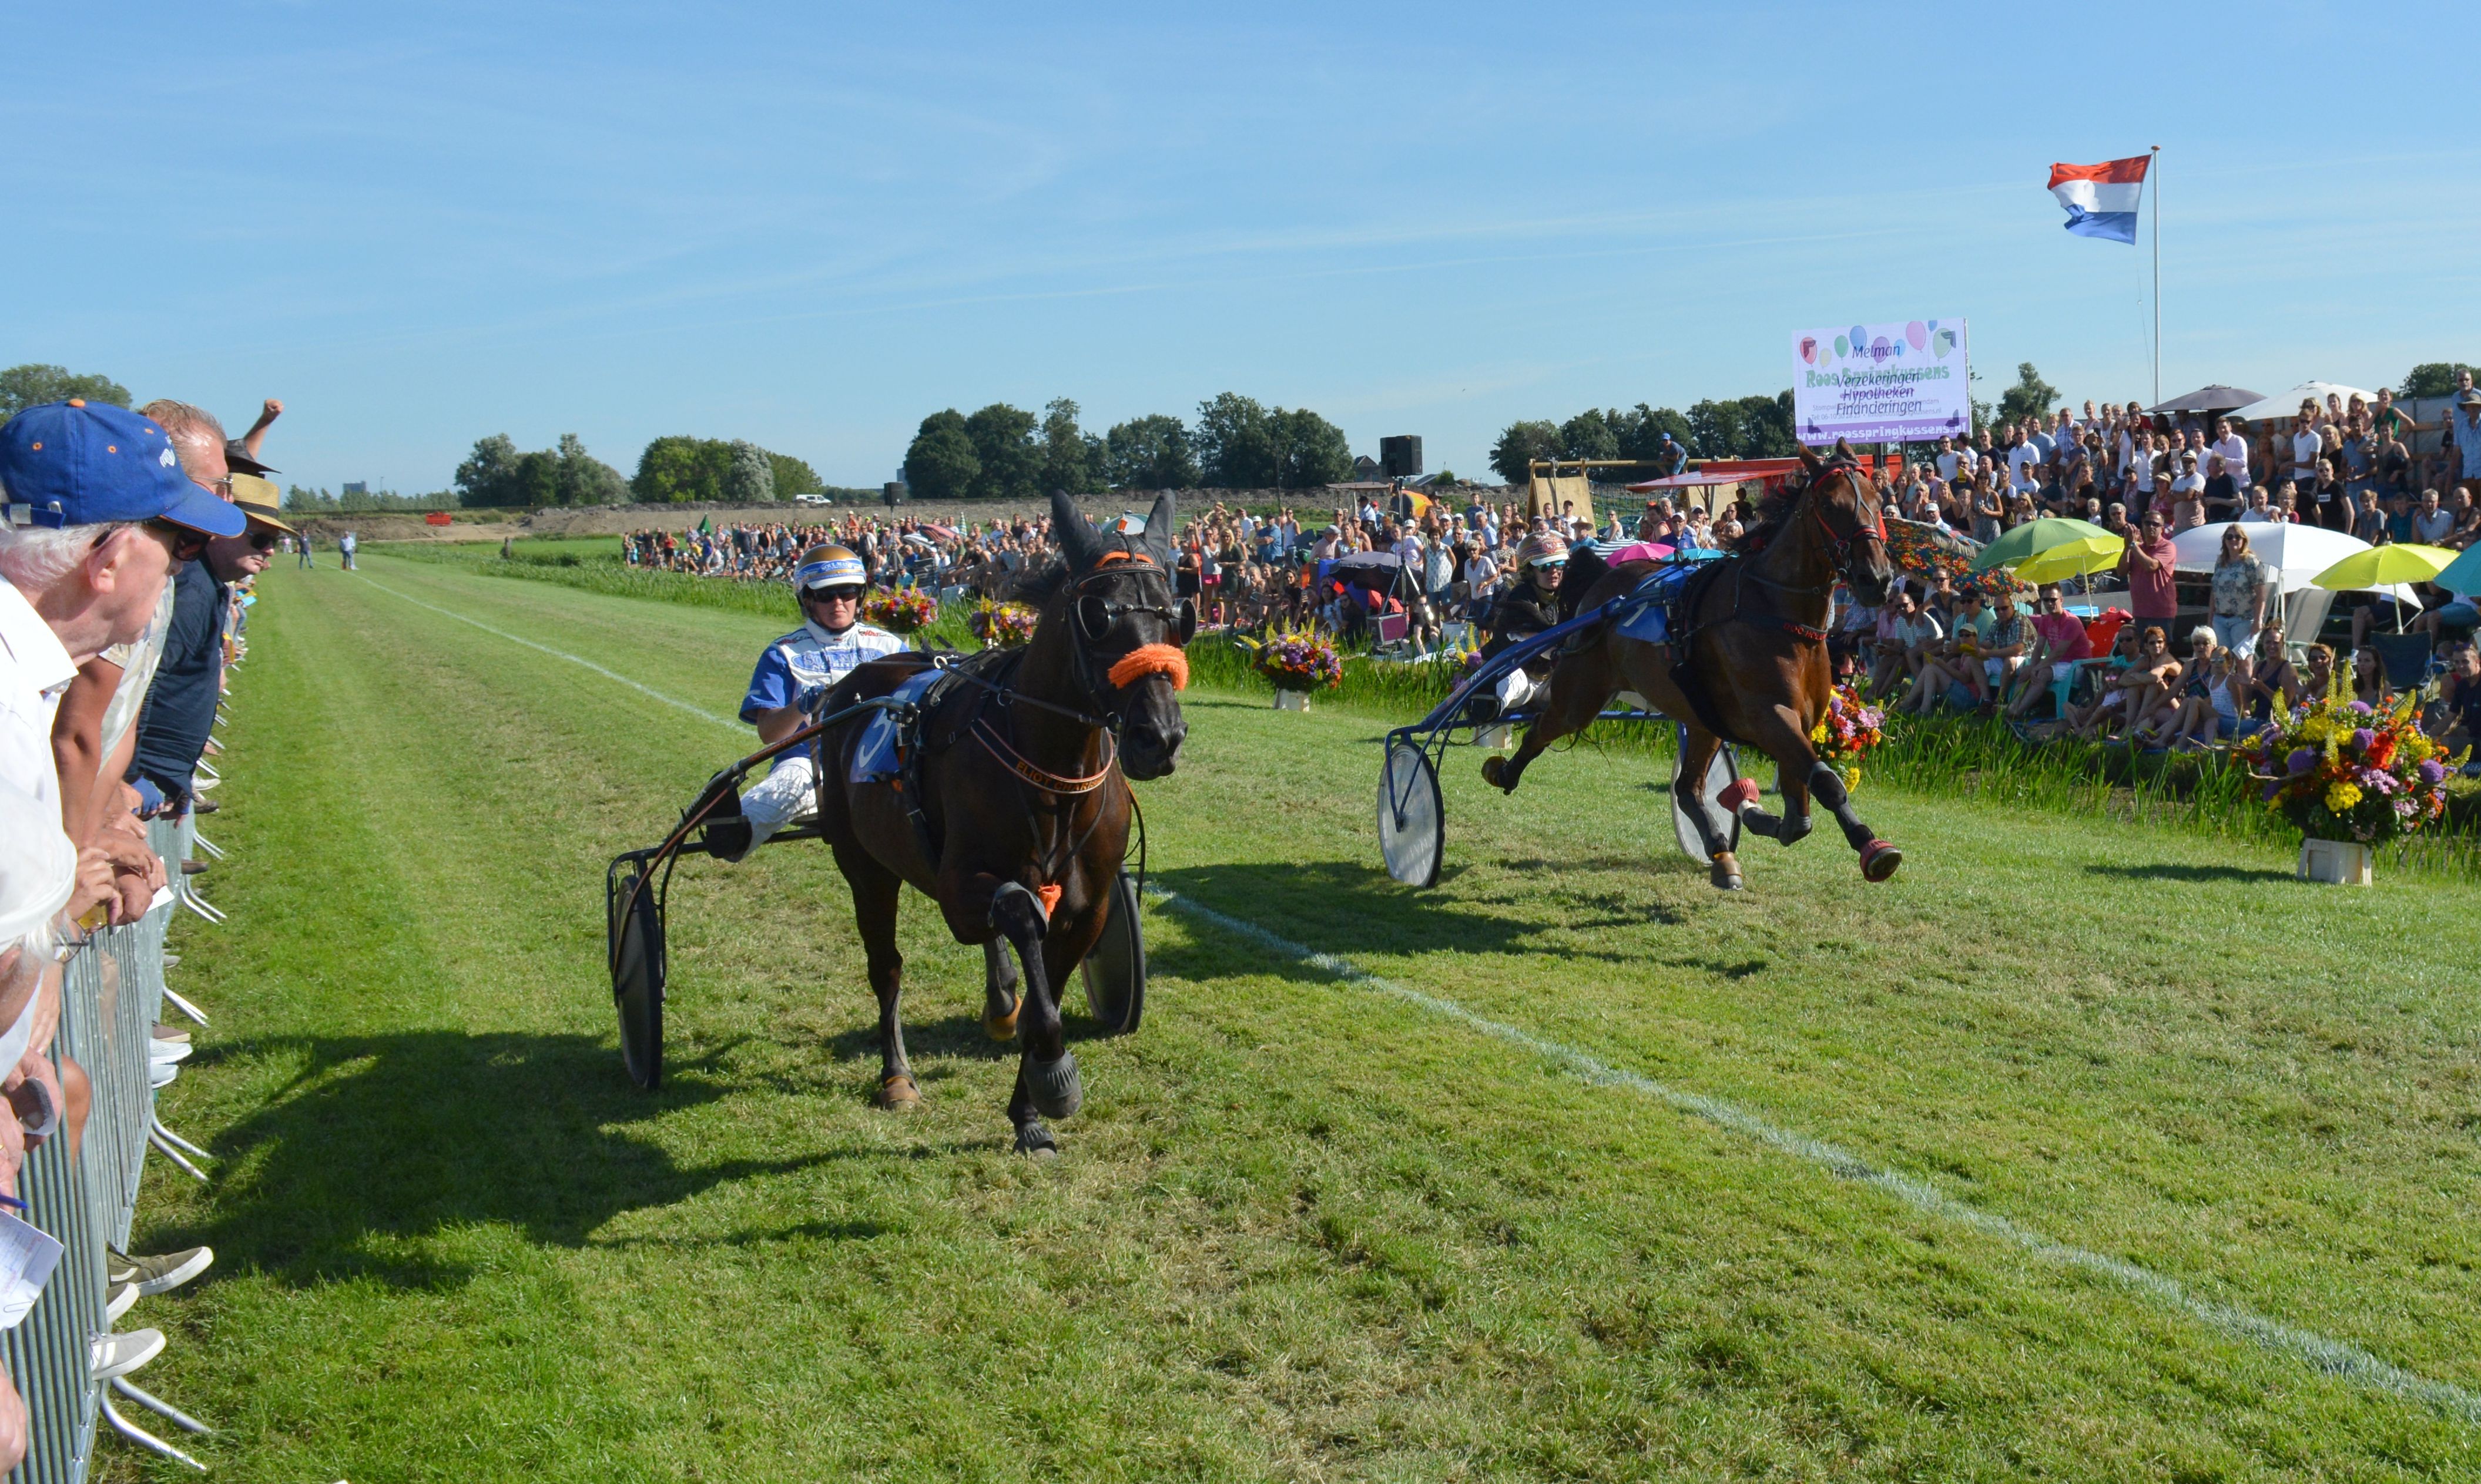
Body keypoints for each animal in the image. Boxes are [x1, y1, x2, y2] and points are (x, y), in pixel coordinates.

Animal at [819, 493, 1196, 1156]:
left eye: (1178, 611)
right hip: (865, 867)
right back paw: (897, 1075)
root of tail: (854, 683)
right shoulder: (959, 886)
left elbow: (1052, 979)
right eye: (1096, 615)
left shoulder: (1089, 906)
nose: (1160, 736)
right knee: (887, 965)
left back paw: (1000, 998)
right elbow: (1020, 918)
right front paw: (1054, 1075)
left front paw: (1028, 1114)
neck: (1051, 775)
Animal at [1478, 439, 1905, 883]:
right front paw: (1872, 847)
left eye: (1879, 500)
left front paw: (1750, 807)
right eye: (1828, 503)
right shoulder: (1770, 715)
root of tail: (1601, 583)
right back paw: (1503, 771)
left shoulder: (1797, 721)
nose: (1877, 578)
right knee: (1542, 729)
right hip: (1581, 694)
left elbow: (1798, 816)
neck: (1775, 612)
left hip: (1702, 717)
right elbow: (1826, 784)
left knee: (1687, 789)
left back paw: (1720, 852)